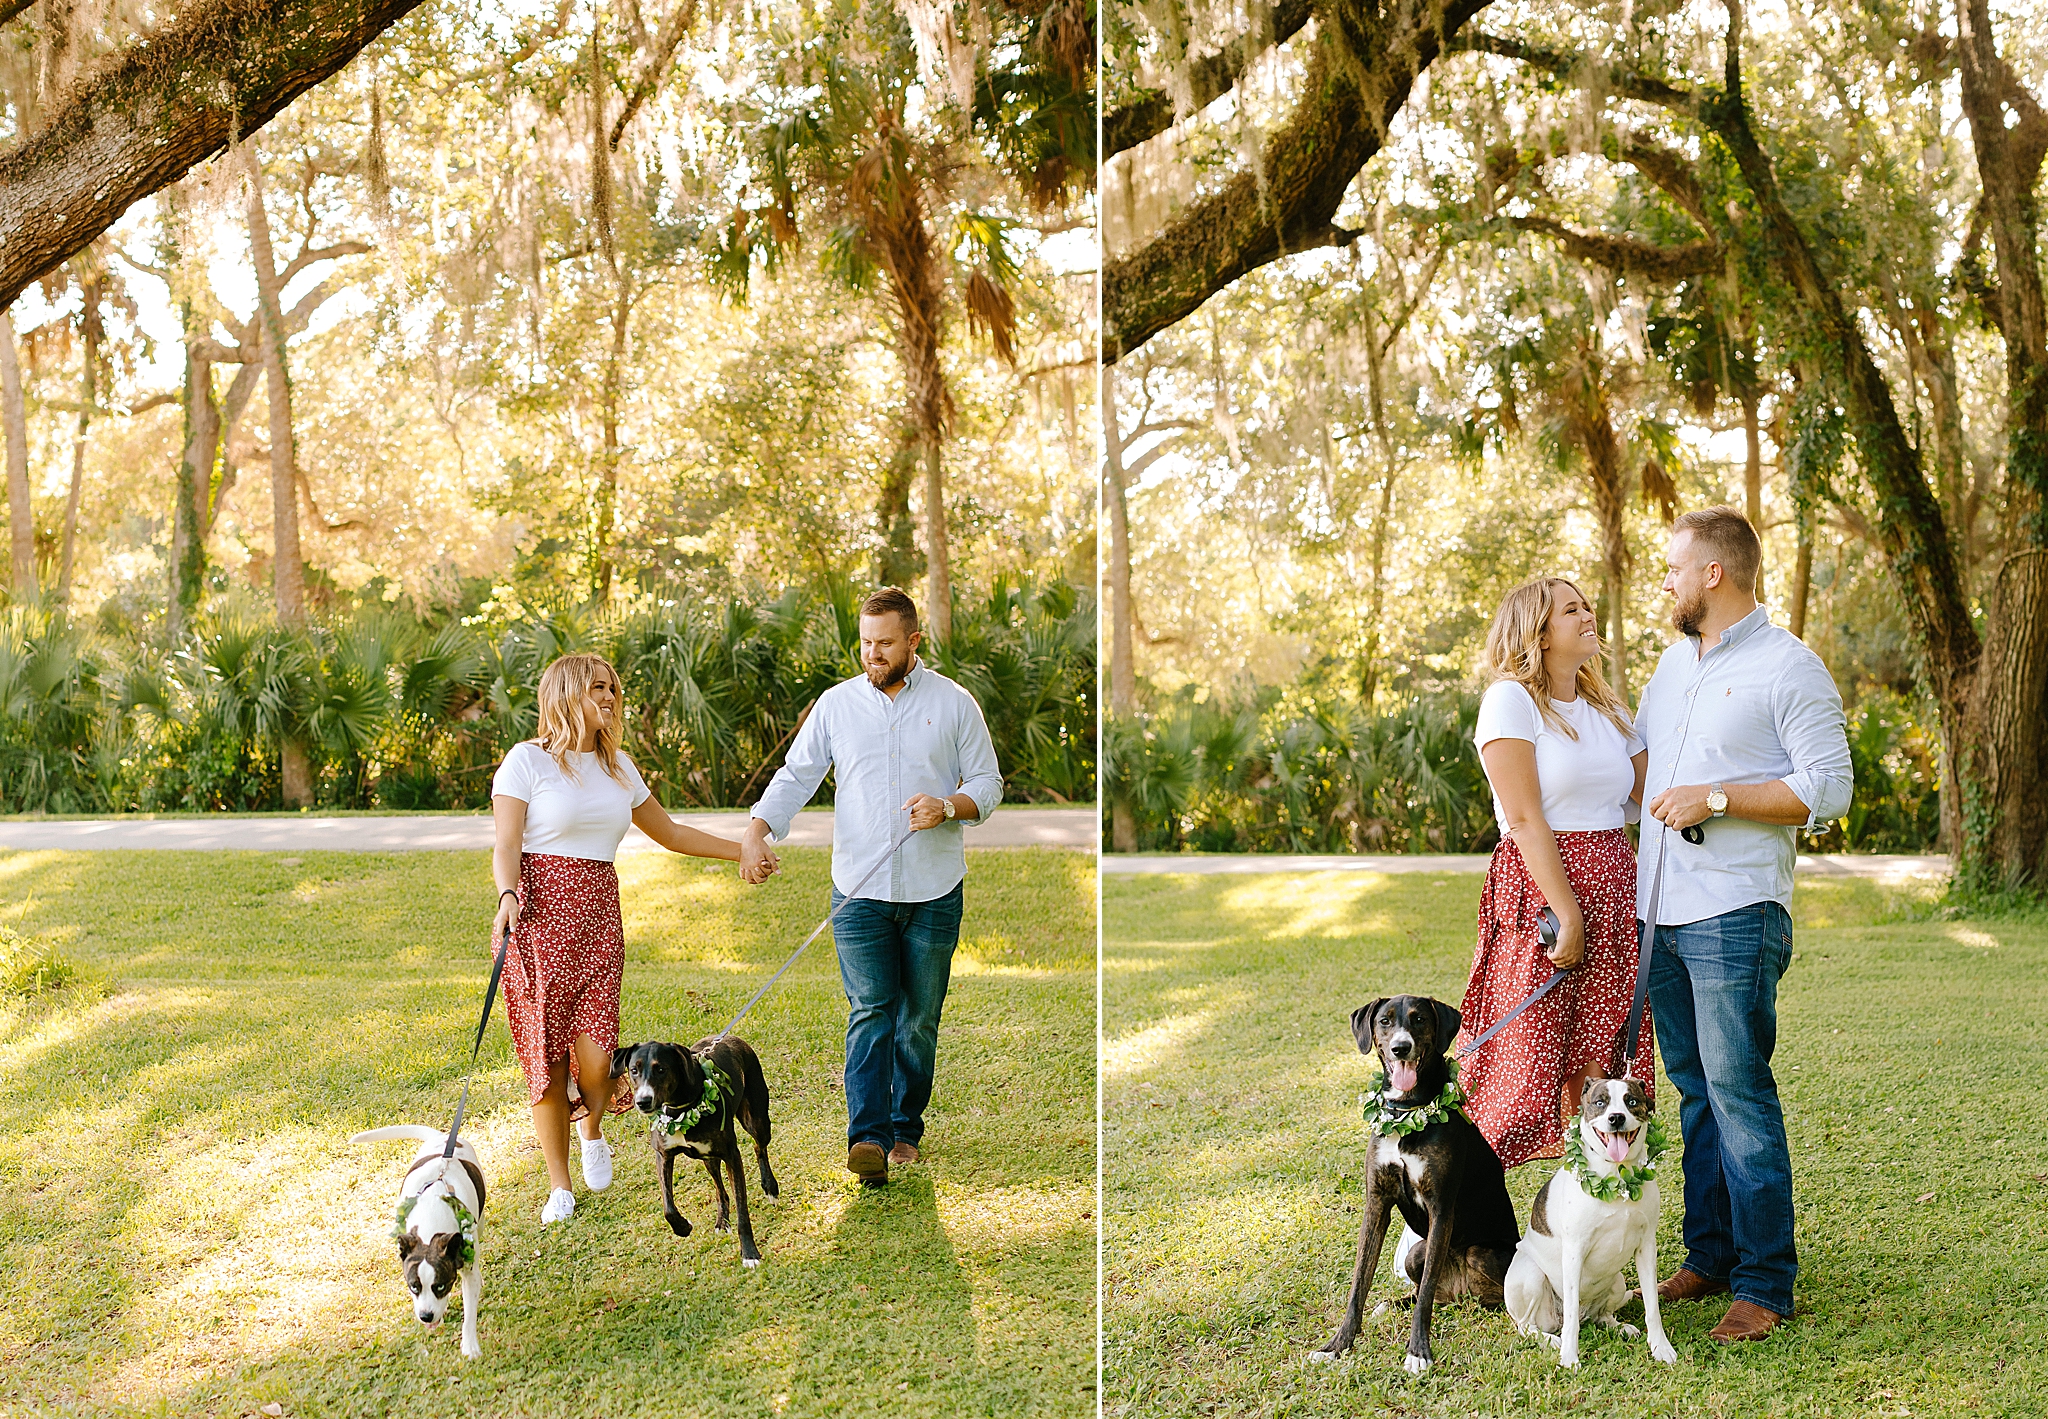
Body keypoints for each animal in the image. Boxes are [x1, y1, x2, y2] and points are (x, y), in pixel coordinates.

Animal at [350, 1122, 485, 1359]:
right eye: (413, 1287)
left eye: (440, 1286)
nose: (426, 1316)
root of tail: (441, 1138)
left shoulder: (467, 1268)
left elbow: (470, 1309)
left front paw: (470, 1346)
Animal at [610, 1027, 778, 1261]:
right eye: (634, 1070)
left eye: (661, 1069)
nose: (643, 1101)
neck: (678, 1109)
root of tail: (731, 1037)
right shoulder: (663, 1154)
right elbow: (668, 1208)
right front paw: (683, 1227)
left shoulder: (732, 1156)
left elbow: (742, 1210)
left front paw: (750, 1254)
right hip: (708, 1157)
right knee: (720, 1189)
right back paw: (722, 1221)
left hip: (757, 1121)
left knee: (758, 1147)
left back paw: (770, 1187)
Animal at [1310, 995, 1523, 1376]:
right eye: (1384, 1021)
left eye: (1420, 1019)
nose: (1400, 1048)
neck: (1405, 1113)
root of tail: (1461, 1293)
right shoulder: (1376, 1204)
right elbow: (1359, 1283)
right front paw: (1337, 1346)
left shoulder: (1441, 1207)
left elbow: (1424, 1295)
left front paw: (1418, 1352)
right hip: (1415, 1254)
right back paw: (1392, 1305)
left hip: (1480, 1253)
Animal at [1507, 1081, 1679, 1367]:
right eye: (1600, 1102)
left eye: (1631, 1101)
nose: (1616, 1118)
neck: (1618, 1178)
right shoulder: (1574, 1251)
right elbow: (1571, 1320)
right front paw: (1569, 1356)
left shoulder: (1646, 1247)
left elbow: (1652, 1306)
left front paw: (1660, 1347)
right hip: (1531, 1276)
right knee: (1527, 1325)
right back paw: (1551, 1340)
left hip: (1618, 1282)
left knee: (1600, 1315)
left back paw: (1619, 1326)